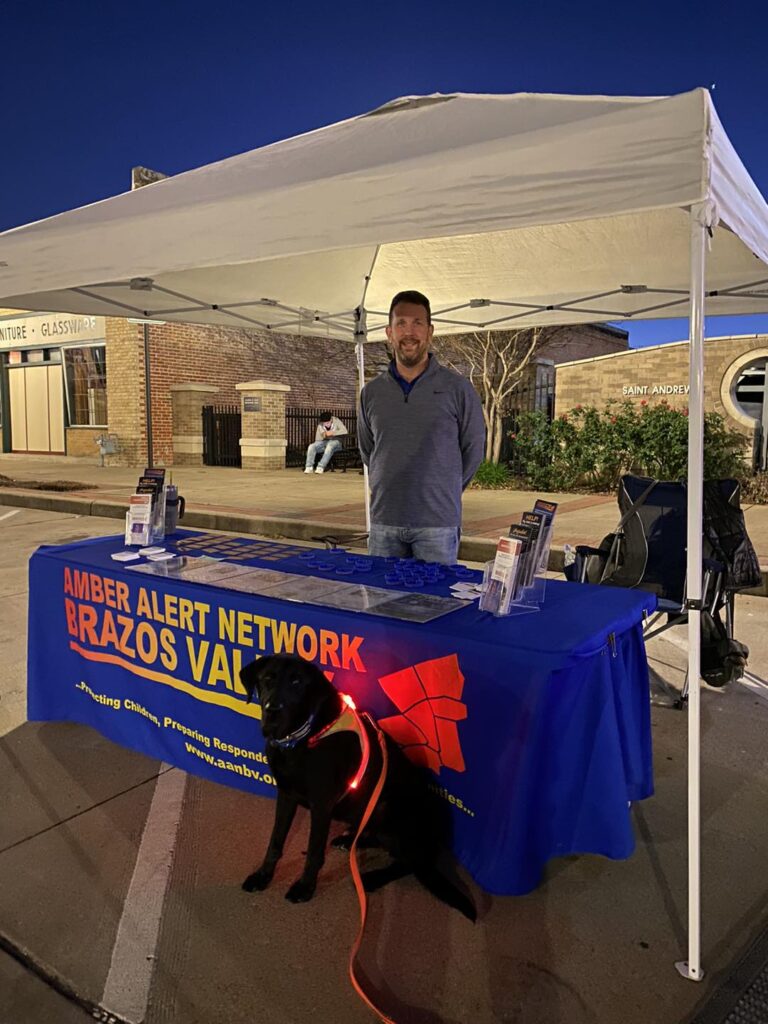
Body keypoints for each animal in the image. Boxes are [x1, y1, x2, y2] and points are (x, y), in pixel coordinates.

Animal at [240, 655, 475, 921]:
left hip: (390, 811)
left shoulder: (321, 804)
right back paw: (351, 839)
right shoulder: (287, 795)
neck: (300, 737)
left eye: (296, 682)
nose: (272, 711)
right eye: (267, 678)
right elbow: (275, 841)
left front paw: (305, 887)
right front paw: (263, 876)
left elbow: (313, 851)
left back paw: (372, 877)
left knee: (407, 864)